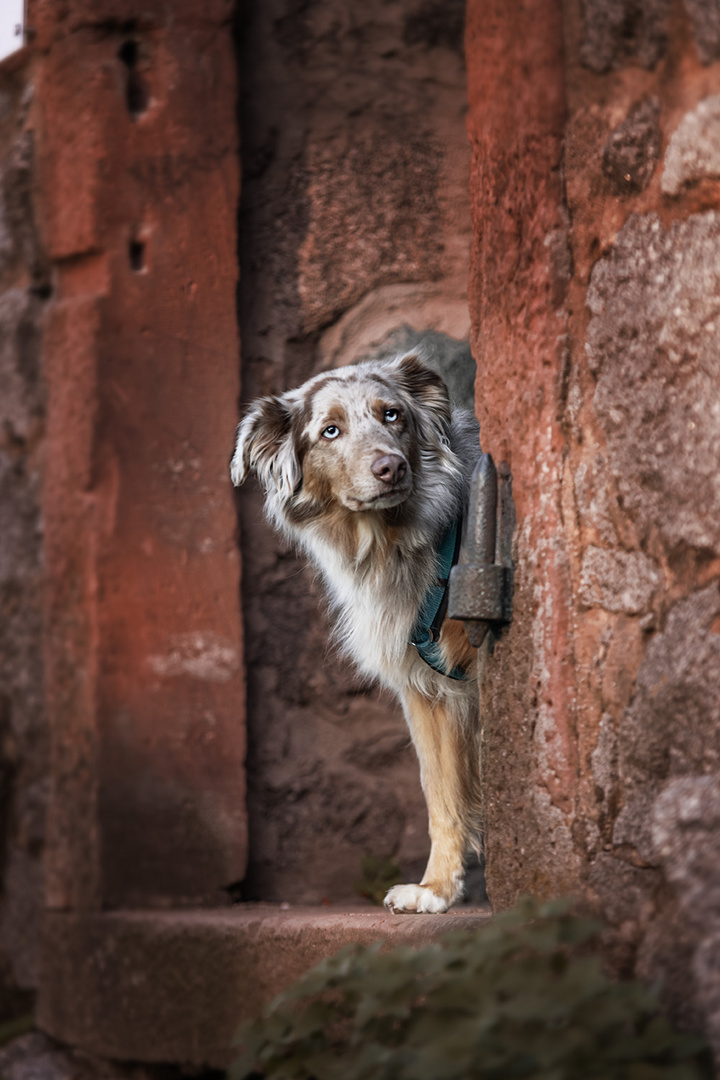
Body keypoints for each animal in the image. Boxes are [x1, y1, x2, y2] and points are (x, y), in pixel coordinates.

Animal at [231, 354, 481, 911]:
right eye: (330, 431)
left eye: (392, 415)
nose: (392, 468)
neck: (393, 538)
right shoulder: (426, 688)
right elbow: (440, 791)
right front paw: (436, 889)